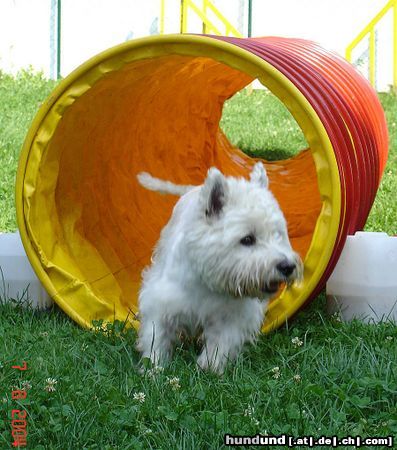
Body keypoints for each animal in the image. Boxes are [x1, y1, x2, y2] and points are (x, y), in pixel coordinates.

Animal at [135, 163, 300, 372]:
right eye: (247, 239)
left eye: (278, 234)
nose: (287, 266)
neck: (208, 284)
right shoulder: (160, 303)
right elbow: (156, 338)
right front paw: (153, 369)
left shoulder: (232, 317)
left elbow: (221, 343)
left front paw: (208, 368)